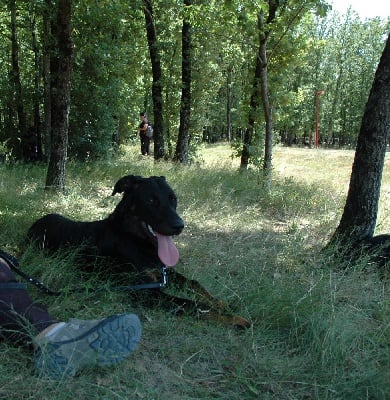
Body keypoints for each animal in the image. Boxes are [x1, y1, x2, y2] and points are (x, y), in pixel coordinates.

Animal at [28, 175, 253, 328]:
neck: (135, 240)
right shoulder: (145, 292)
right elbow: (190, 304)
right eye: (151, 201)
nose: (179, 226)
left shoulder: (163, 271)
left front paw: (221, 303)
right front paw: (235, 319)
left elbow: (194, 283)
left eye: (173, 198)